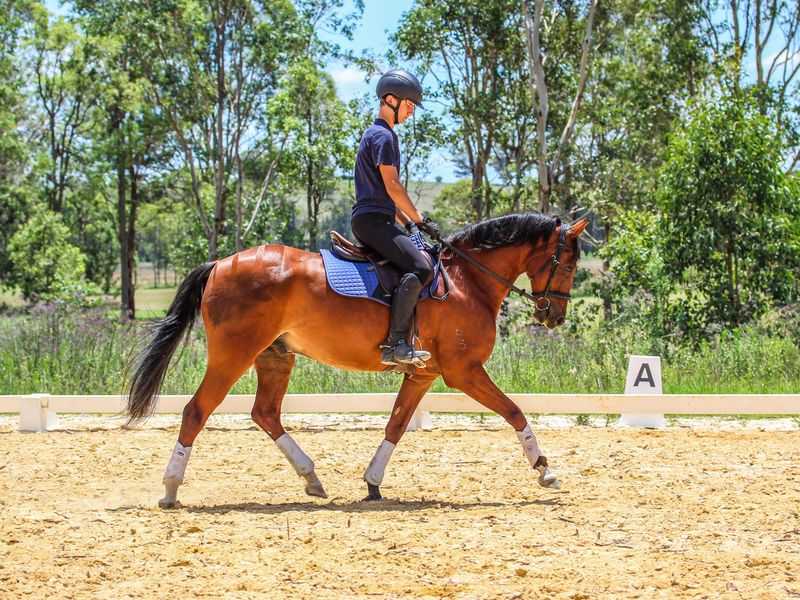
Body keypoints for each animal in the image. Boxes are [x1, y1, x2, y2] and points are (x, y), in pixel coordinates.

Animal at [125, 212, 589, 507]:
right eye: (569, 263)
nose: (554, 315)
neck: (467, 280)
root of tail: (220, 263)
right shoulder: (464, 372)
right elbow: (514, 411)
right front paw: (544, 469)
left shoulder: (423, 374)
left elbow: (396, 425)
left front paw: (372, 483)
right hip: (233, 355)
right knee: (197, 411)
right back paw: (171, 489)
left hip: (275, 357)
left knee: (265, 413)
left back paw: (311, 478)